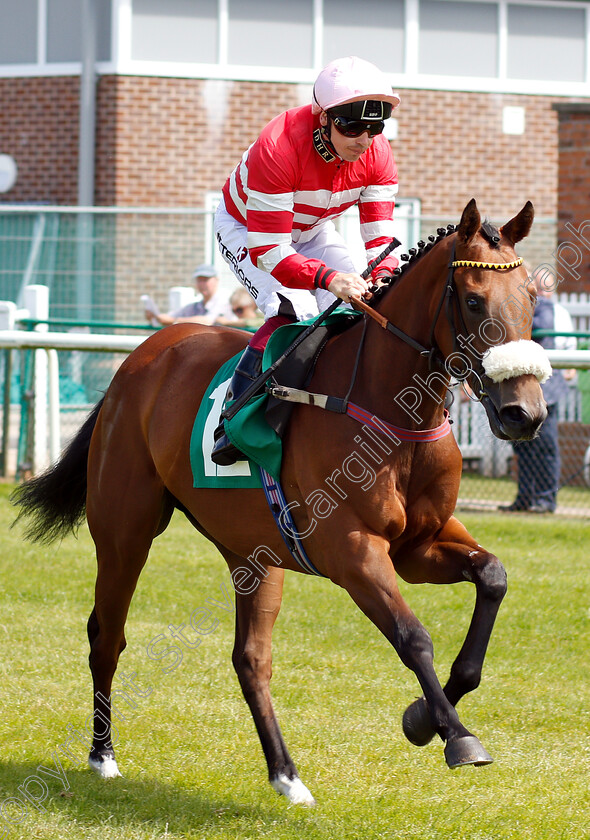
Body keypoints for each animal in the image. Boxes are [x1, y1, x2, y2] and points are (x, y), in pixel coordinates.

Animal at [13, 199, 552, 808]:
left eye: (532, 297)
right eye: (473, 299)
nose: (524, 413)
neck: (389, 408)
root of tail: (140, 358)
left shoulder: (419, 546)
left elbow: (493, 577)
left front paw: (421, 717)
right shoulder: (353, 551)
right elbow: (413, 636)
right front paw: (456, 736)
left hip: (255, 554)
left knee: (251, 659)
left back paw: (287, 776)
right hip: (125, 531)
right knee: (108, 636)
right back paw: (103, 757)